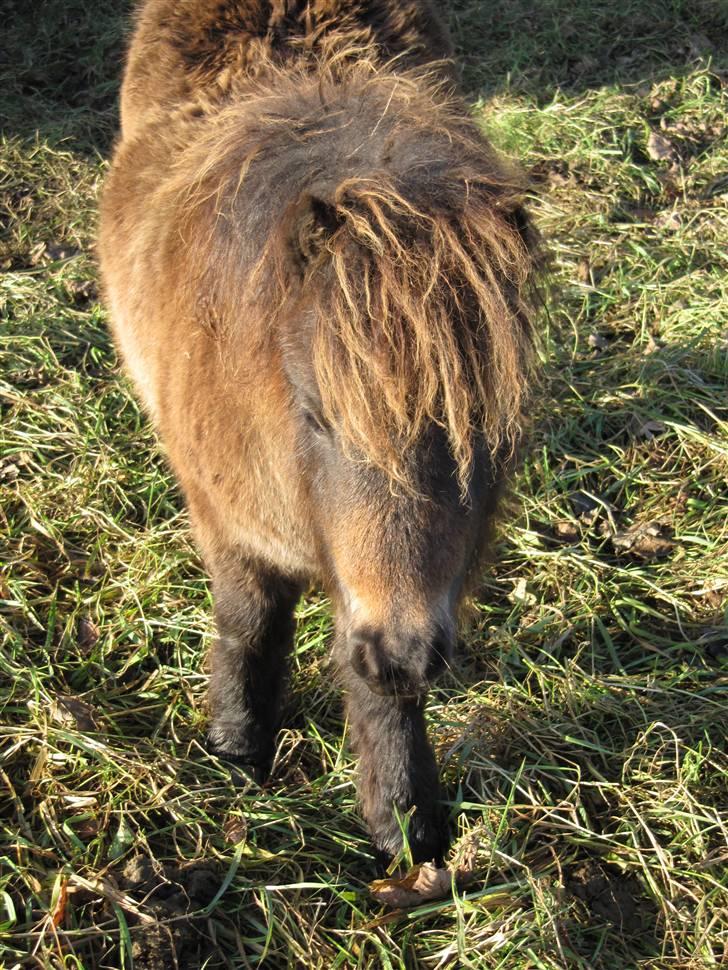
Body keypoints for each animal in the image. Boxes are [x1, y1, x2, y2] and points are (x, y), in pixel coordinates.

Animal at [99, 0, 536, 864]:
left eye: (485, 433)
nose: (405, 649)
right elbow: (252, 627)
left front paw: (406, 831)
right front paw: (237, 754)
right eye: (314, 414)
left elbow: (377, 693)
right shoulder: (231, 522)